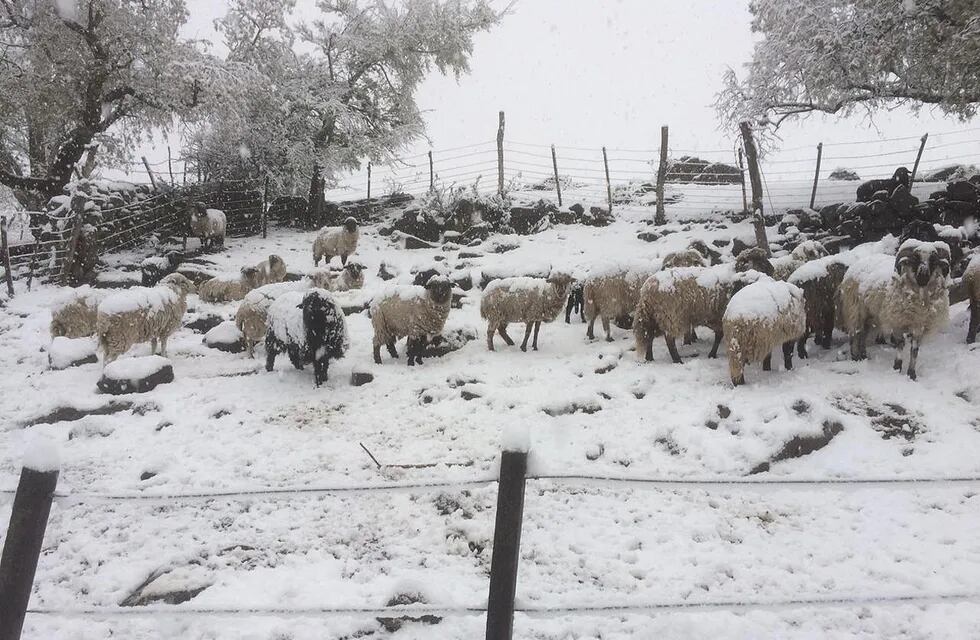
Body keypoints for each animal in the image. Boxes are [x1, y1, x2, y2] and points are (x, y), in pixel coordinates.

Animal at [632, 264, 768, 364]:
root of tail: (647, 291)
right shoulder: (718, 316)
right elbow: (719, 335)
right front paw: (712, 354)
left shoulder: (715, 317)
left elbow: (719, 335)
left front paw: (712, 354)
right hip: (670, 315)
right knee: (669, 339)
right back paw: (677, 360)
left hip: (654, 316)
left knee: (649, 335)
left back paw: (649, 357)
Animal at [836, 240, 948, 380]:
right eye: (915, 259)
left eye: (933, 260)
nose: (923, 276)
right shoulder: (897, 322)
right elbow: (900, 344)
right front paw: (897, 367)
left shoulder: (919, 326)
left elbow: (914, 350)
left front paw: (912, 374)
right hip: (855, 310)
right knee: (855, 334)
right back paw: (855, 357)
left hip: (871, 315)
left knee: (863, 334)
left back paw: (863, 356)